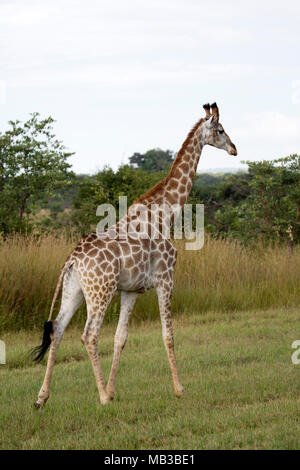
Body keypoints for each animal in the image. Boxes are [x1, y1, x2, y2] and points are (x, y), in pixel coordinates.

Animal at [32, 102, 238, 408]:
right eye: (221, 130)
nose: (234, 149)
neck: (166, 214)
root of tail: (73, 259)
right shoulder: (166, 279)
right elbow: (168, 335)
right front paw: (179, 389)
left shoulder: (132, 290)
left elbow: (121, 338)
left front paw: (113, 389)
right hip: (100, 291)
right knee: (89, 335)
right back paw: (100, 397)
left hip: (75, 290)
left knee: (57, 329)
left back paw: (42, 397)